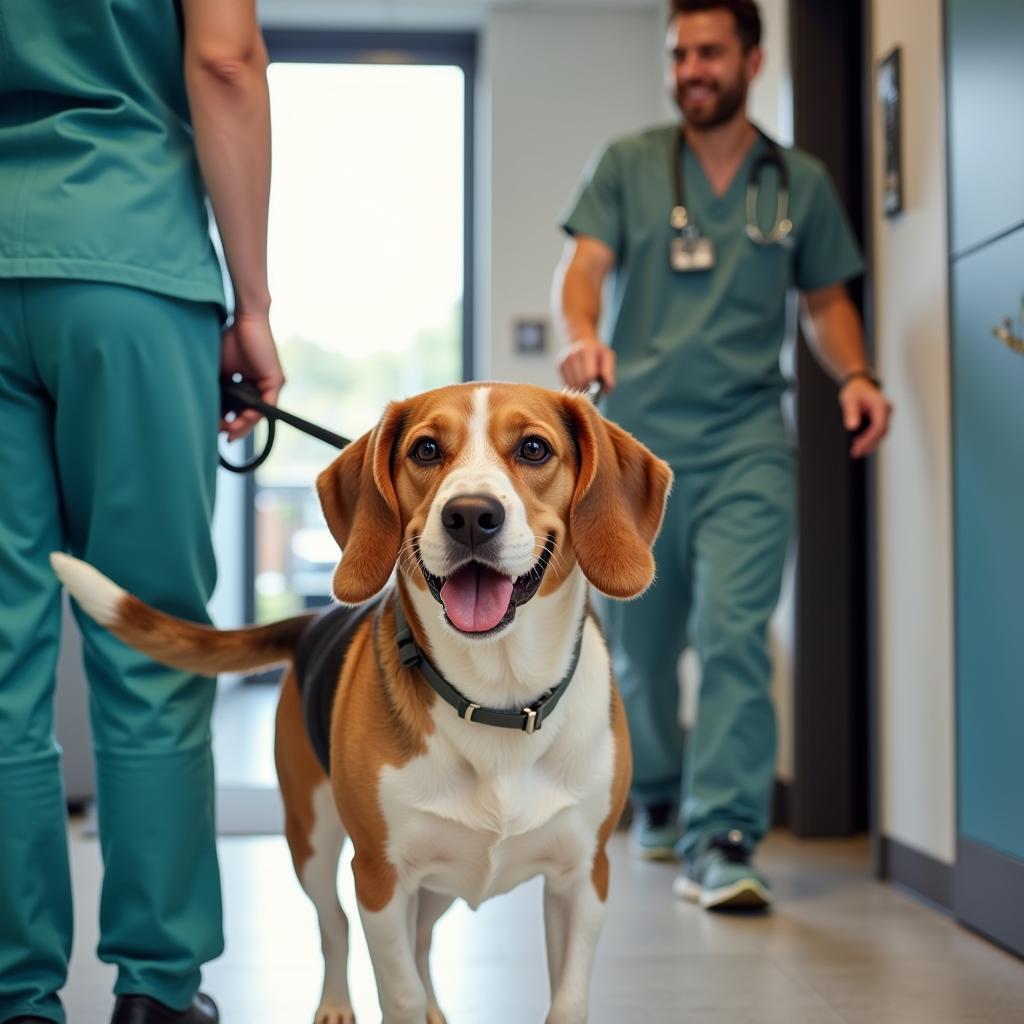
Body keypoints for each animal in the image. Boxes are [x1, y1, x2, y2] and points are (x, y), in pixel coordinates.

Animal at [51, 382, 671, 1024]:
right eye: (426, 450)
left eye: (533, 448)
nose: (471, 516)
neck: (496, 698)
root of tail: (310, 621)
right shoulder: (380, 875)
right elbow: (396, 989)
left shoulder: (584, 877)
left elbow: (564, 1001)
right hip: (313, 843)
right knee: (335, 927)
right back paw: (334, 1004)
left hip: (441, 876)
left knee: (421, 938)